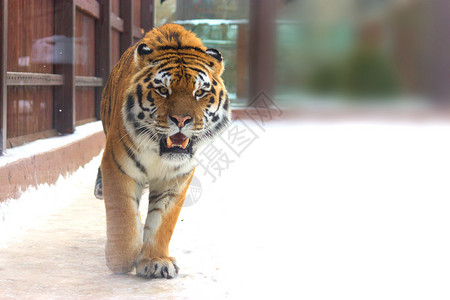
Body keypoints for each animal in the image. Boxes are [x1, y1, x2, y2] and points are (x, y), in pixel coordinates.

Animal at [93, 24, 230, 278]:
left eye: (199, 92)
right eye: (163, 90)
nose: (182, 119)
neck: (158, 152)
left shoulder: (176, 178)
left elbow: (162, 223)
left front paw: (156, 261)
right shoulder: (119, 167)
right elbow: (124, 215)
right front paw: (120, 258)